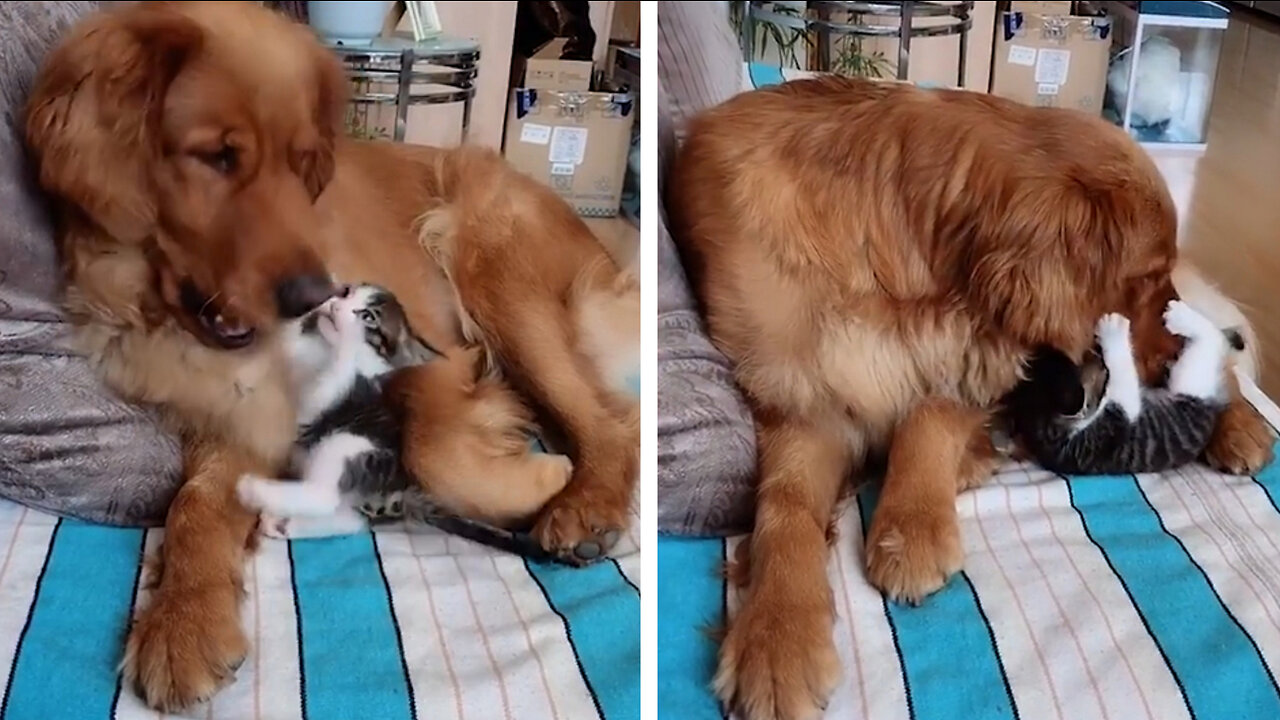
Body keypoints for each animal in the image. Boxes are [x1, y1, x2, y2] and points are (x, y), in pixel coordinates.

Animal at [234, 283, 570, 558]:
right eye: (348, 293)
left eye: (368, 317)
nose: (338, 302)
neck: (323, 353)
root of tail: (404, 489)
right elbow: (289, 345)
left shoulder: (330, 395)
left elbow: (327, 384)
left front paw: (346, 339)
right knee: (351, 518)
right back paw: (282, 523)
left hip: (348, 443)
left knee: (325, 496)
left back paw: (254, 490)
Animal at [998, 298, 1239, 474]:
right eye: (1100, 371)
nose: (1095, 354)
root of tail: (1214, 410)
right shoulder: (1111, 426)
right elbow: (1122, 375)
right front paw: (1113, 332)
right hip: (1191, 379)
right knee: (1212, 340)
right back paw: (1181, 318)